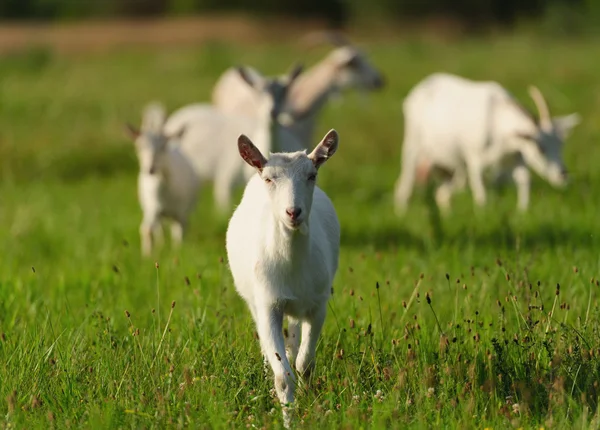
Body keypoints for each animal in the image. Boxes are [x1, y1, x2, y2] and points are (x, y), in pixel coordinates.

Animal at [125, 101, 198, 255]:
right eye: (139, 147)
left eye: (163, 146)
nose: (150, 169)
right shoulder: (152, 207)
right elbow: (146, 229)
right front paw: (147, 255)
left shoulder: (181, 212)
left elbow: (179, 233)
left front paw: (178, 252)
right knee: (160, 229)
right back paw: (160, 245)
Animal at [226, 129, 340, 428]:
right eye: (269, 178)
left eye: (312, 175)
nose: (293, 212)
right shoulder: (268, 304)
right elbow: (283, 376)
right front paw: (289, 418)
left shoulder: (318, 305)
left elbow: (305, 364)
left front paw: (310, 402)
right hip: (254, 300)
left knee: (295, 338)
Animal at [394, 74, 580, 215]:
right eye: (540, 148)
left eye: (561, 145)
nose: (563, 175)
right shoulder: (474, 160)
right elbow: (481, 194)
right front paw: (482, 215)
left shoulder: (515, 157)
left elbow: (524, 180)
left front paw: (522, 211)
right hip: (413, 144)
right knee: (406, 181)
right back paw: (401, 210)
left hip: (446, 164)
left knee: (443, 191)